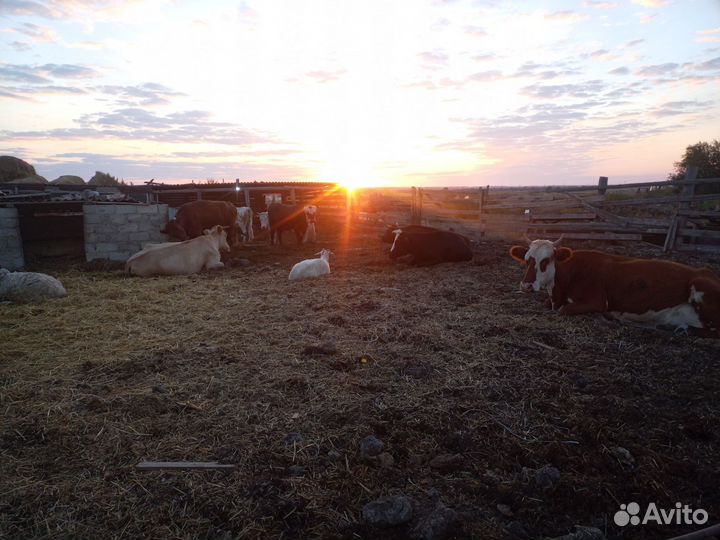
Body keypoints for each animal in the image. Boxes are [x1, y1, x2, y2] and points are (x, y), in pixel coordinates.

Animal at [509, 238, 720, 336]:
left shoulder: (597, 301)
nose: (526, 285)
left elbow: (564, 310)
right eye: (526, 260)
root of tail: (707, 271)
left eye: (545, 261)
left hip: (700, 286)